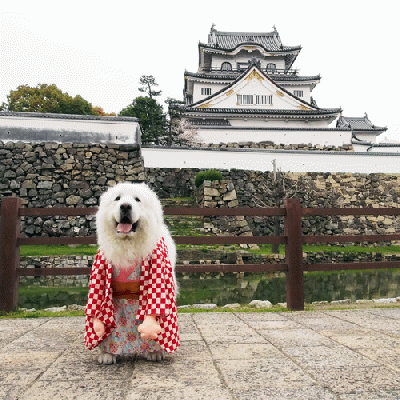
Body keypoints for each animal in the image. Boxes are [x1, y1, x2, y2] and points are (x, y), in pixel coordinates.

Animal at [85, 183, 180, 364]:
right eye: (117, 198)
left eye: (137, 199)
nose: (125, 206)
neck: (127, 244)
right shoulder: (102, 270)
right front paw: (107, 353)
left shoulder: (157, 273)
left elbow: (154, 305)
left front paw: (154, 350)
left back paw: (154, 352)